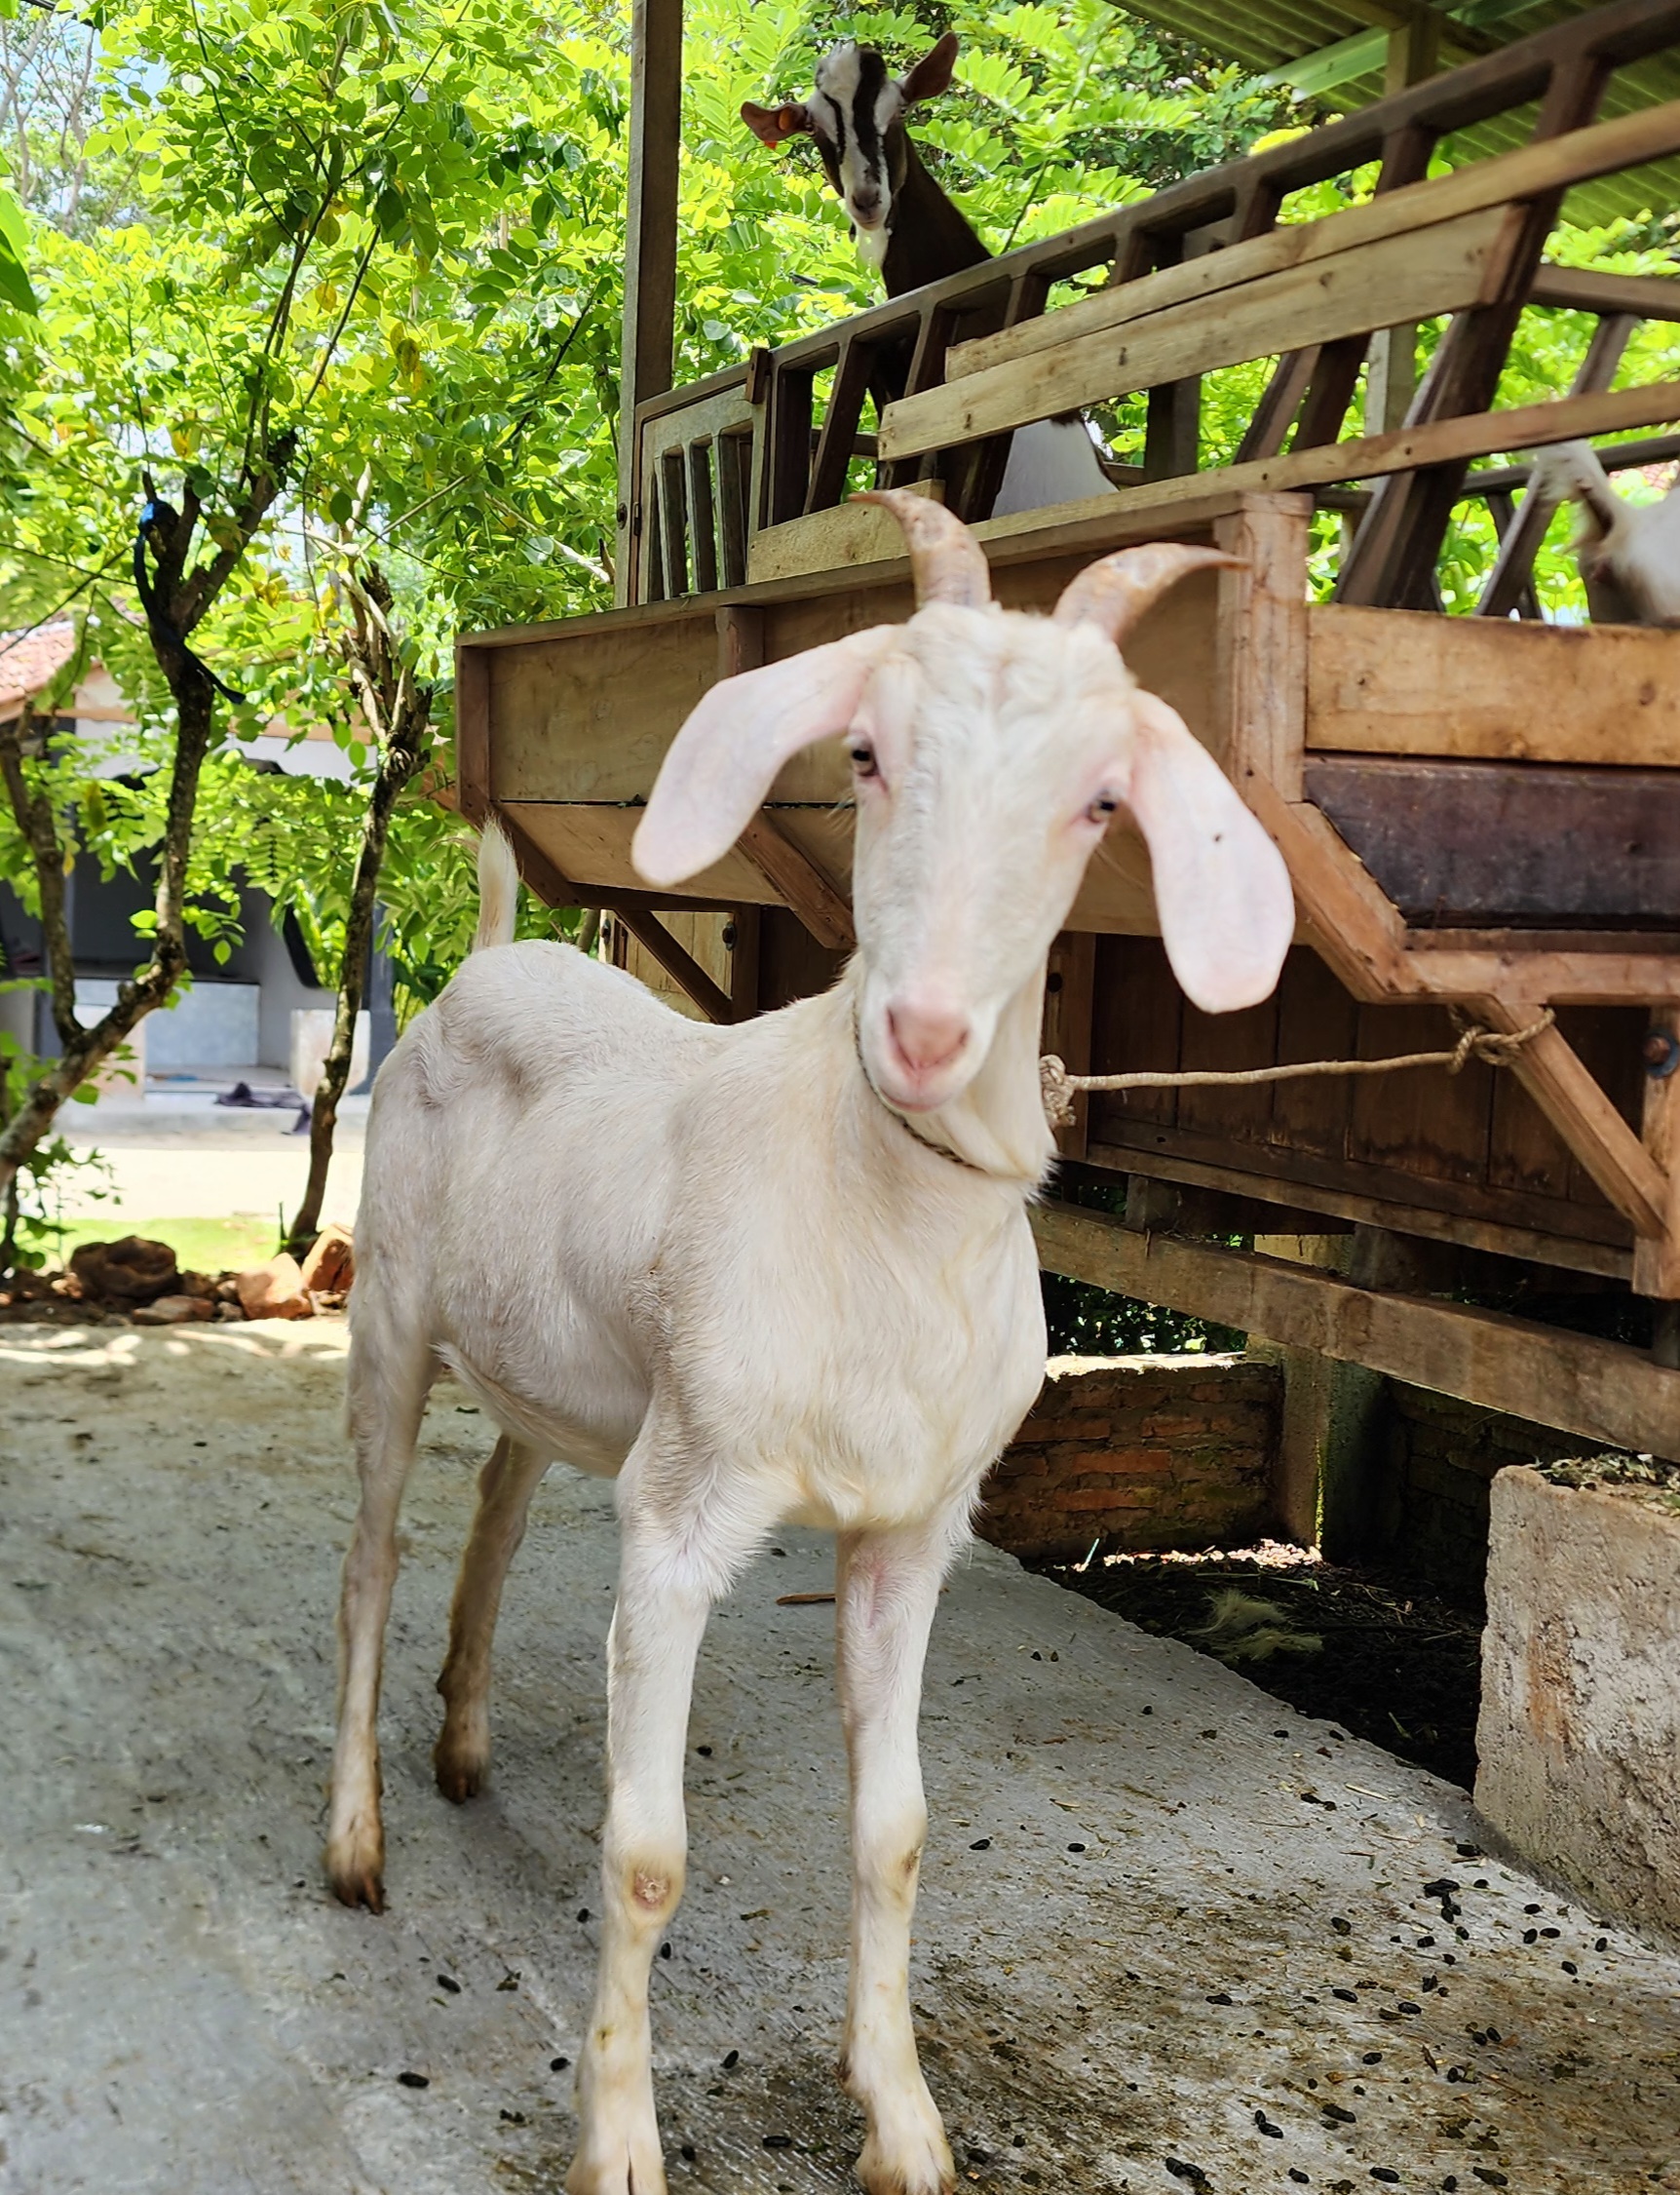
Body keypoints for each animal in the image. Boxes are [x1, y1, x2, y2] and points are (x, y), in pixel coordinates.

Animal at [324, 490, 1295, 2195]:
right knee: (371, 1552)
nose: (924, 1032)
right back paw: (358, 1838)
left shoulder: (913, 1525)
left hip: (561, 1367)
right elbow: (647, 1852)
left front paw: (902, 2120)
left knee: (500, 1499)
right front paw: (620, 2142)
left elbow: (896, 1827)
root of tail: (492, 954)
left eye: (1104, 800)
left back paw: (464, 1736)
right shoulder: (683, 1508)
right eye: (865, 753)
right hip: (393, 1312)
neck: (883, 1214)